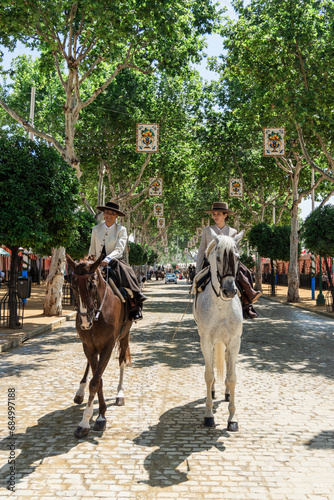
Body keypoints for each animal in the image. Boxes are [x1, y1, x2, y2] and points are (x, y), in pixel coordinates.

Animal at [66, 254, 132, 438]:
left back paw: (120, 394)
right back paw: (80, 392)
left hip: (124, 335)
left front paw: (90, 420)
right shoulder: (88, 346)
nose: (84, 321)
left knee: (122, 361)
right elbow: (98, 379)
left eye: (92, 285)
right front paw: (98, 414)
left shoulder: (107, 347)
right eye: (73, 285)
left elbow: (95, 382)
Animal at [193, 230, 243, 430]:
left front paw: (232, 418)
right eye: (219, 257)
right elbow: (208, 374)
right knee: (212, 364)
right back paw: (213, 391)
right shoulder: (206, 340)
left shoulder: (235, 341)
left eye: (237, 257)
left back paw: (227, 393)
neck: (222, 307)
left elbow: (232, 377)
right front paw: (208, 415)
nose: (229, 290)